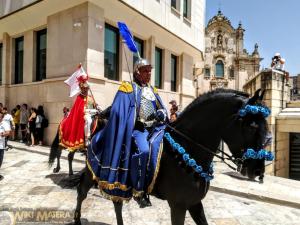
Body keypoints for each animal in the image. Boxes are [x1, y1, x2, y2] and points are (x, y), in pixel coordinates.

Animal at [71, 89, 270, 224]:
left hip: (118, 182)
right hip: (94, 173)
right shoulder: (178, 206)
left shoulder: (195, 203)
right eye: (251, 125)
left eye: (266, 126)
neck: (186, 150)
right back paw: (77, 219)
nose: (258, 170)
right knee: (82, 192)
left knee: (116, 202)